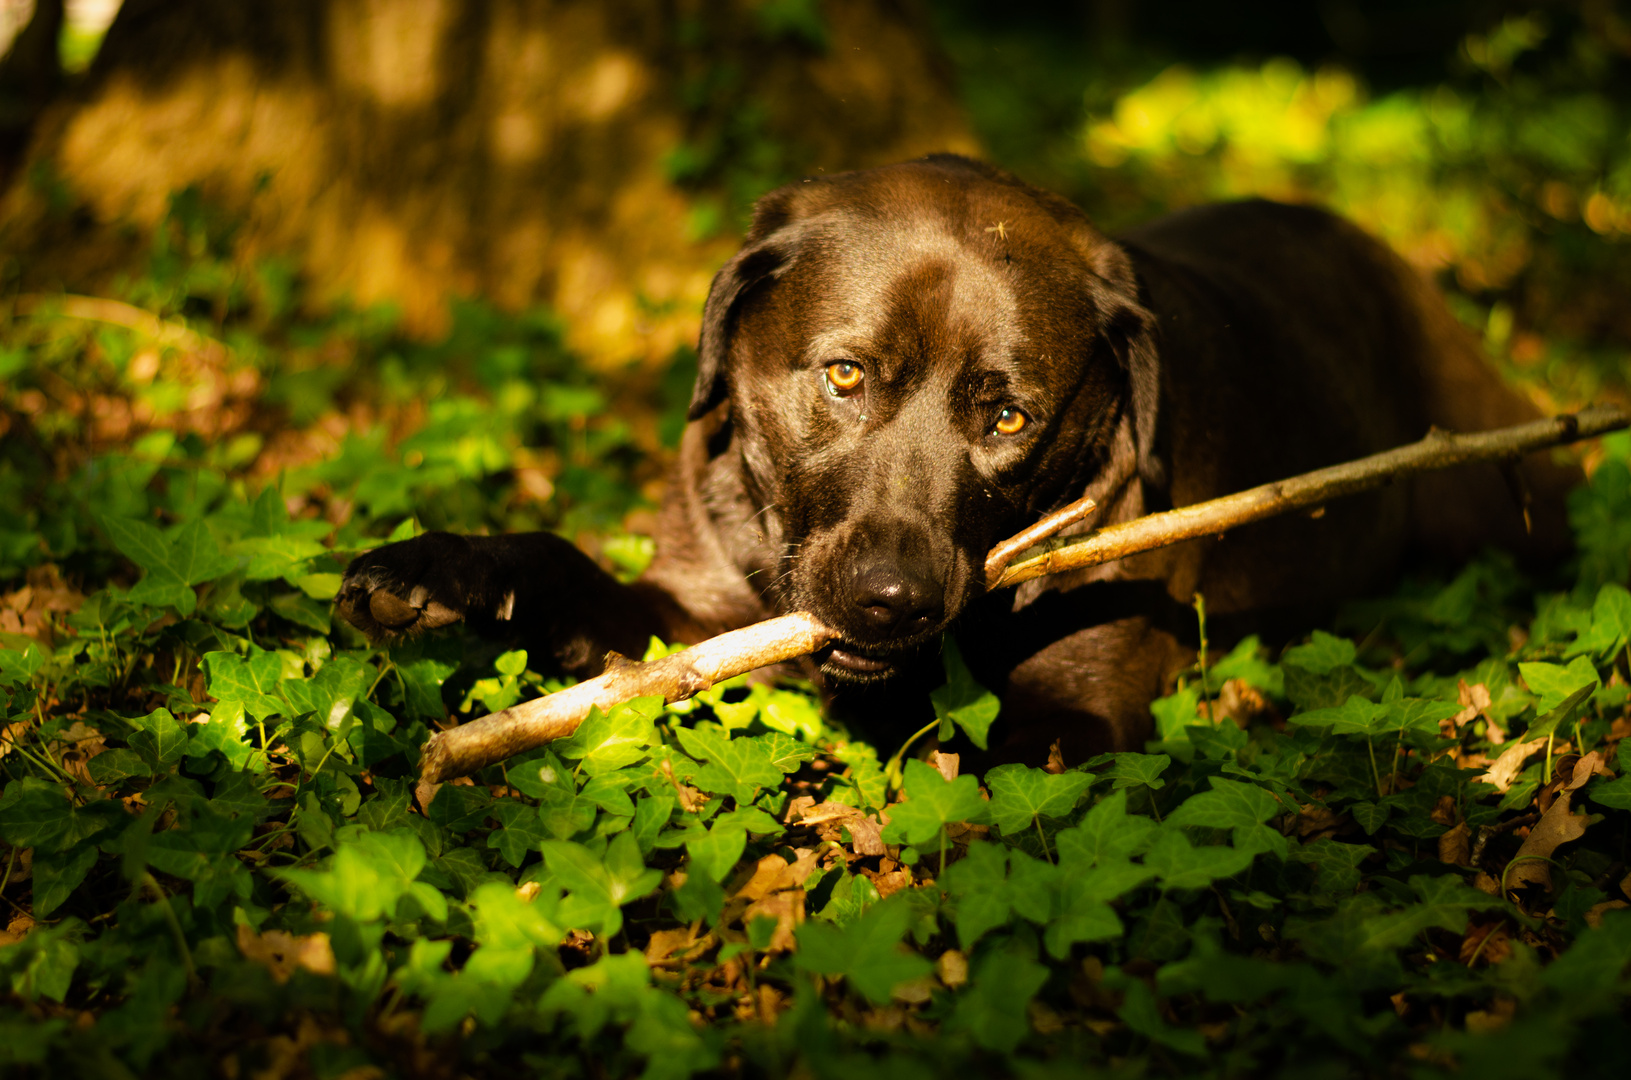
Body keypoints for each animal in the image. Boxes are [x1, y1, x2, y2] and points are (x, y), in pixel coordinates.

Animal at [337, 156, 1572, 766]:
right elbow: (564, 569)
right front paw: (432, 573)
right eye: (843, 377)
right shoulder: (690, 614)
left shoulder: (1076, 717)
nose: (891, 600)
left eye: (1009, 419)